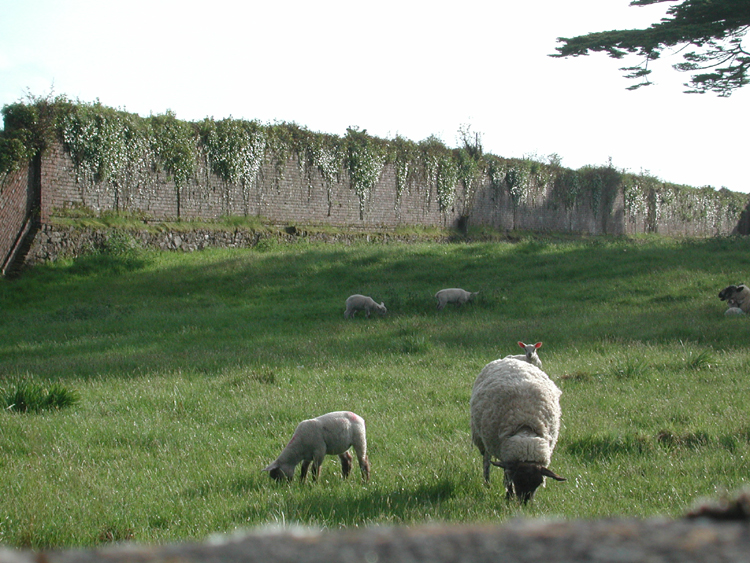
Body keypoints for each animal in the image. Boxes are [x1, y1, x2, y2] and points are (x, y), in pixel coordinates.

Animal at [472, 360, 568, 504]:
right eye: (518, 480)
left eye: (538, 483)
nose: (524, 503)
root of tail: (509, 360)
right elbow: (507, 478)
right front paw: (508, 497)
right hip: (483, 439)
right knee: (486, 460)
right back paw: (487, 482)